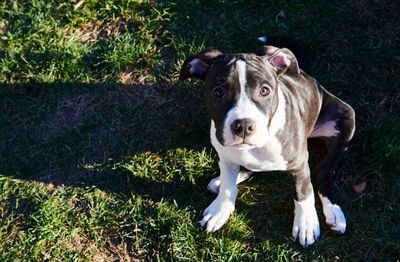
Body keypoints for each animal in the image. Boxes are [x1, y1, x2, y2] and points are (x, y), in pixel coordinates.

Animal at [180, 37, 354, 247]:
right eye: (218, 92)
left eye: (264, 91)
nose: (243, 125)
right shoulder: (225, 156)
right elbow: (229, 186)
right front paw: (220, 209)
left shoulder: (300, 164)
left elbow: (304, 193)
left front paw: (306, 223)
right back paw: (221, 181)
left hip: (345, 118)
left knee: (322, 172)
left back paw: (333, 212)